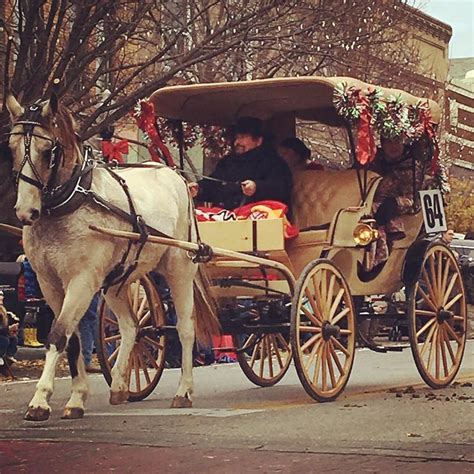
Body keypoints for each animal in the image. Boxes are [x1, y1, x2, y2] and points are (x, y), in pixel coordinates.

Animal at [6, 94, 220, 420]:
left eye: (47, 151)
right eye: (11, 147)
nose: (25, 212)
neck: (70, 203)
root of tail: (174, 174)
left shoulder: (82, 281)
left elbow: (58, 335)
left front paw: (40, 400)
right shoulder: (49, 283)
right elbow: (72, 339)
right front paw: (77, 397)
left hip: (180, 268)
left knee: (185, 328)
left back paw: (183, 391)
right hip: (118, 282)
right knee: (131, 327)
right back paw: (120, 385)